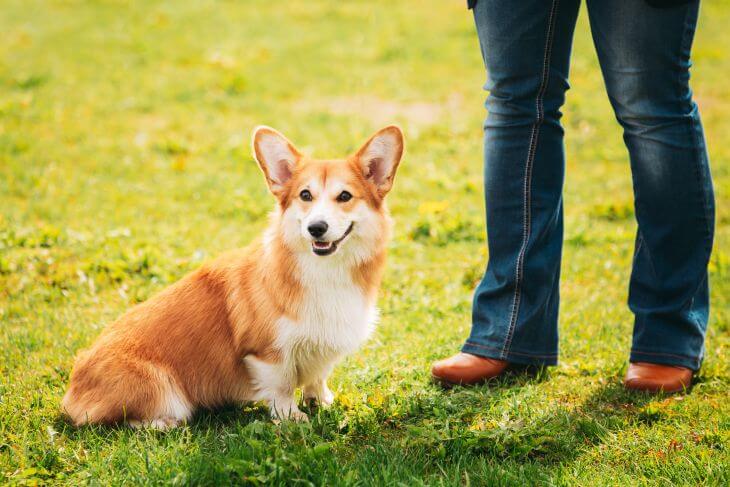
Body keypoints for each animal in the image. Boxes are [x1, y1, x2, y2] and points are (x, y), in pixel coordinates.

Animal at [61, 125, 404, 428]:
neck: (325, 272)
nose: (316, 228)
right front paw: (292, 418)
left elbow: (318, 377)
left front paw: (321, 401)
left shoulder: (326, 344)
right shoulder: (267, 354)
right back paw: (163, 423)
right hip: (161, 389)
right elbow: (282, 387)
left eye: (344, 196)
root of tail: (72, 394)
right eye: (305, 195)